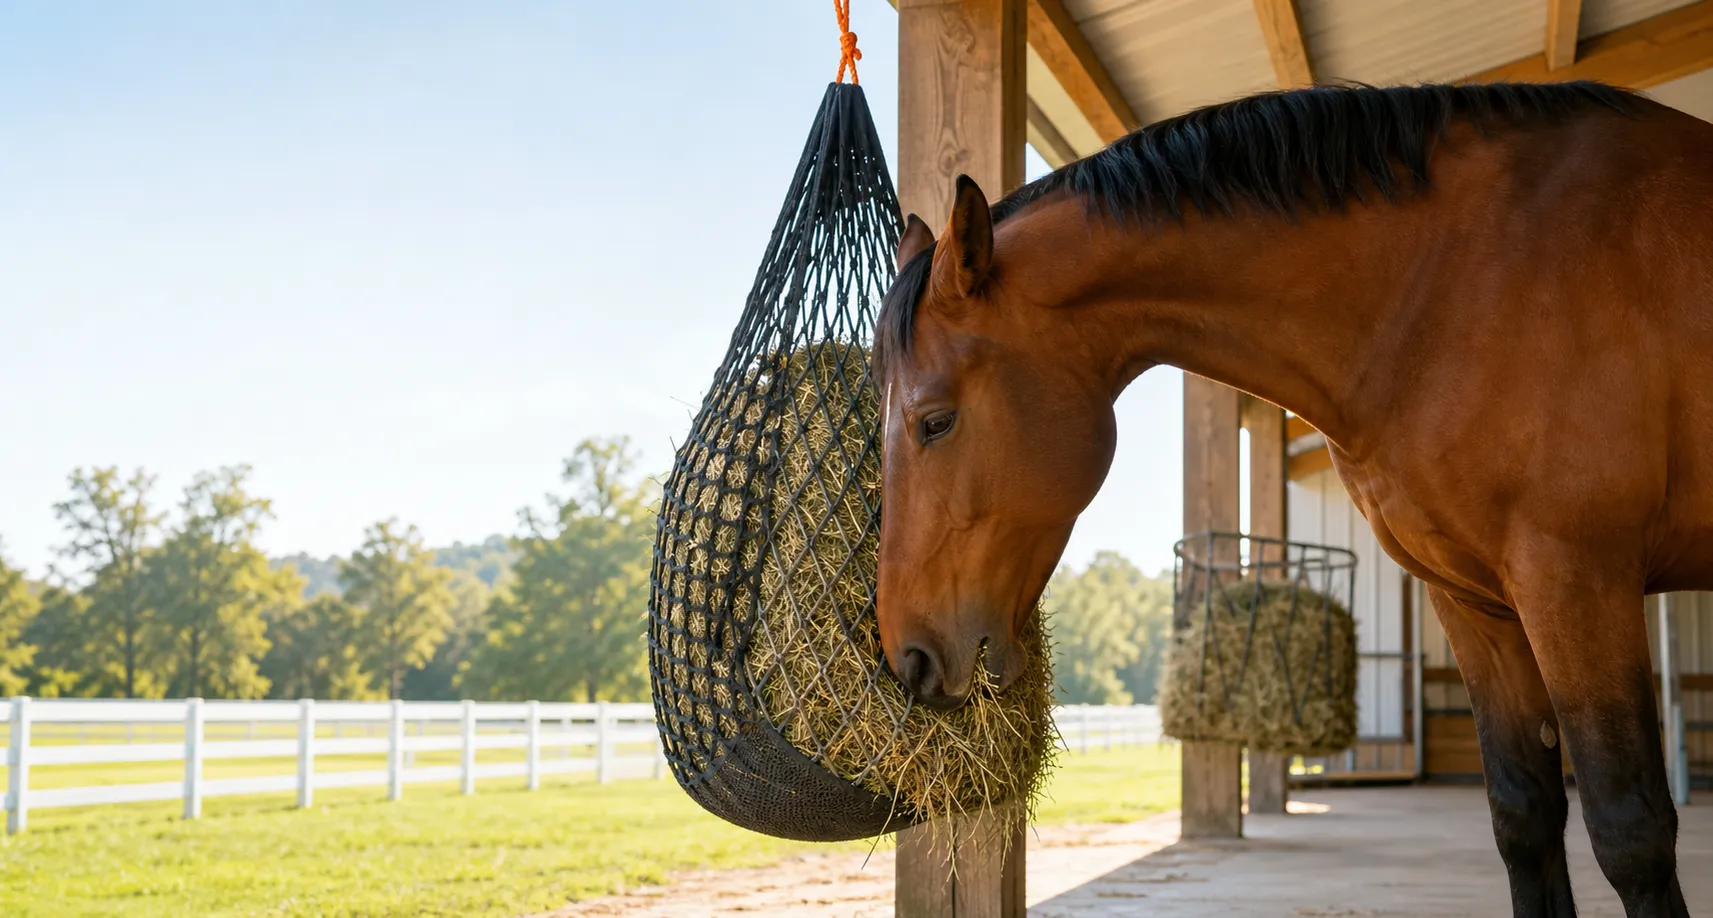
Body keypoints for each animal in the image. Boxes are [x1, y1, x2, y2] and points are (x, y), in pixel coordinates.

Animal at [870, 81, 1713, 918]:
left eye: (935, 421)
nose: (909, 656)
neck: (1450, 286)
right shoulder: (1476, 603)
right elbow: (1523, 816)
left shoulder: (1574, 581)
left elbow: (1630, 831)